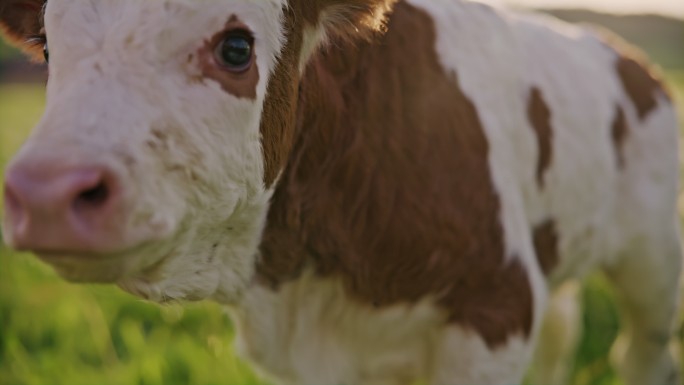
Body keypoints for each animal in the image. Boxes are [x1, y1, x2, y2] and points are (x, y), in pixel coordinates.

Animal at [1, 0, 684, 382]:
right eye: (48, 47)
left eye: (236, 46)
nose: (47, 192)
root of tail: (628, 57)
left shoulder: (496, 305)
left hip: (653, 265)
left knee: (641, 353)